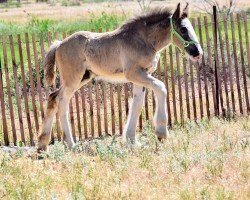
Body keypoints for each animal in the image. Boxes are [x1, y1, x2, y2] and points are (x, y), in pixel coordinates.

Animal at [38, 2, 203, 152]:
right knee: (62, 101)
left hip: (84, 77)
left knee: (53, 97)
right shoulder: (134, 73)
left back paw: (42, 145)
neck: (143, 40)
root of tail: (59, 44)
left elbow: (137, 104)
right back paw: (71, 145)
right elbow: (161, 88)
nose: (198, 53)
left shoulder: (142, 76)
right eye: (183, 29)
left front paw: (132, 140)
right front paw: (161, 133)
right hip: (72, 79)